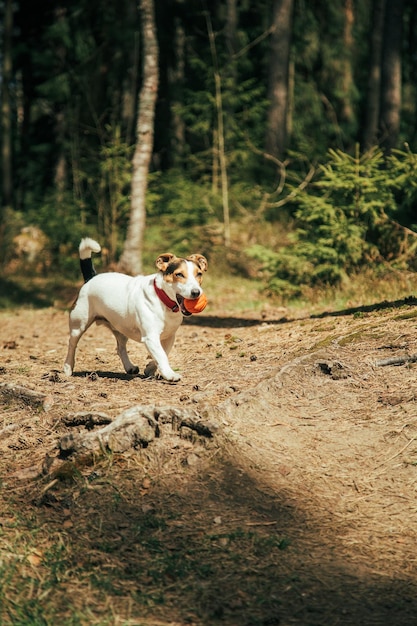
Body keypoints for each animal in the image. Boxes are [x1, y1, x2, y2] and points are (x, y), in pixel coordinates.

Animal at [62, 235, 207, 378]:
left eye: (199, 274)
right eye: (179, 274)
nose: (196, 292)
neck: (163, 299)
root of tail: (92, 277)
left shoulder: (169, 336)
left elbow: (163, 353)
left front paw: (150, 368)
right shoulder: (151, 336)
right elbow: (161, 355)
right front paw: (170, 374)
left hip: (121, 327)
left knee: (120, 348)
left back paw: (129, 366)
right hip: (78, 325)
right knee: (72, 344)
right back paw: (68, 368)